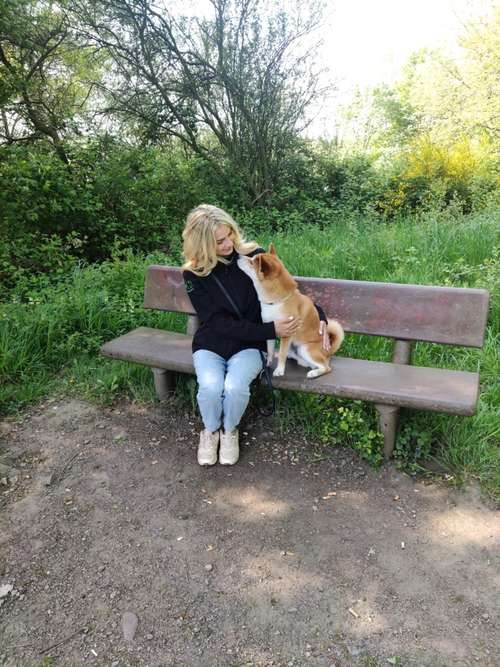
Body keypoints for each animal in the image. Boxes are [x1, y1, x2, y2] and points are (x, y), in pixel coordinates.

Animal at [236, 247, 342, 380]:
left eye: (251, 262)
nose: (237, 256)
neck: (276, 302)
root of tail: (328, 352)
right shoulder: (270, 328)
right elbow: (270, 350)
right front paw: (267, 364)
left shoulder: (287, 333)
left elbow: (282, 354)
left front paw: (279, 370)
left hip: (305, 349)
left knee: (326, 367)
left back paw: (314, 373)